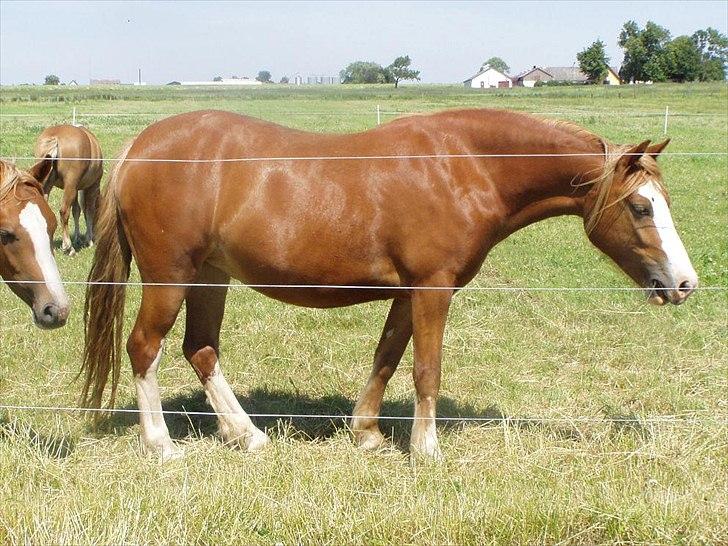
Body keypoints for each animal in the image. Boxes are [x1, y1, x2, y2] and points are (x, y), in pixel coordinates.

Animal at [35, 123, 104, 253]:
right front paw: (89, 240)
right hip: (70, 187)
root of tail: (55, 137)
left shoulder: (76, 189)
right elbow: (89, 210)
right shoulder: (93, 186)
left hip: (49, 185)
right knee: (64, 211)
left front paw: (77, 238)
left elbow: (76, 211)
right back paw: (68, 246)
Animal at [81, 110, 700, 460]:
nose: (685, 283)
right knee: (145, 347)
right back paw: (161, 445)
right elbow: (426, 369)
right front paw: (426, 451)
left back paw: (247, 436)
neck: (461, 165)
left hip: (211, 276)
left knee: (201, 349)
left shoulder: (409, 293)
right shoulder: (433, 290)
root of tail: (139, 148)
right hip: (171, 275)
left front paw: (368, 434)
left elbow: (386, 357)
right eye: (641, 207)